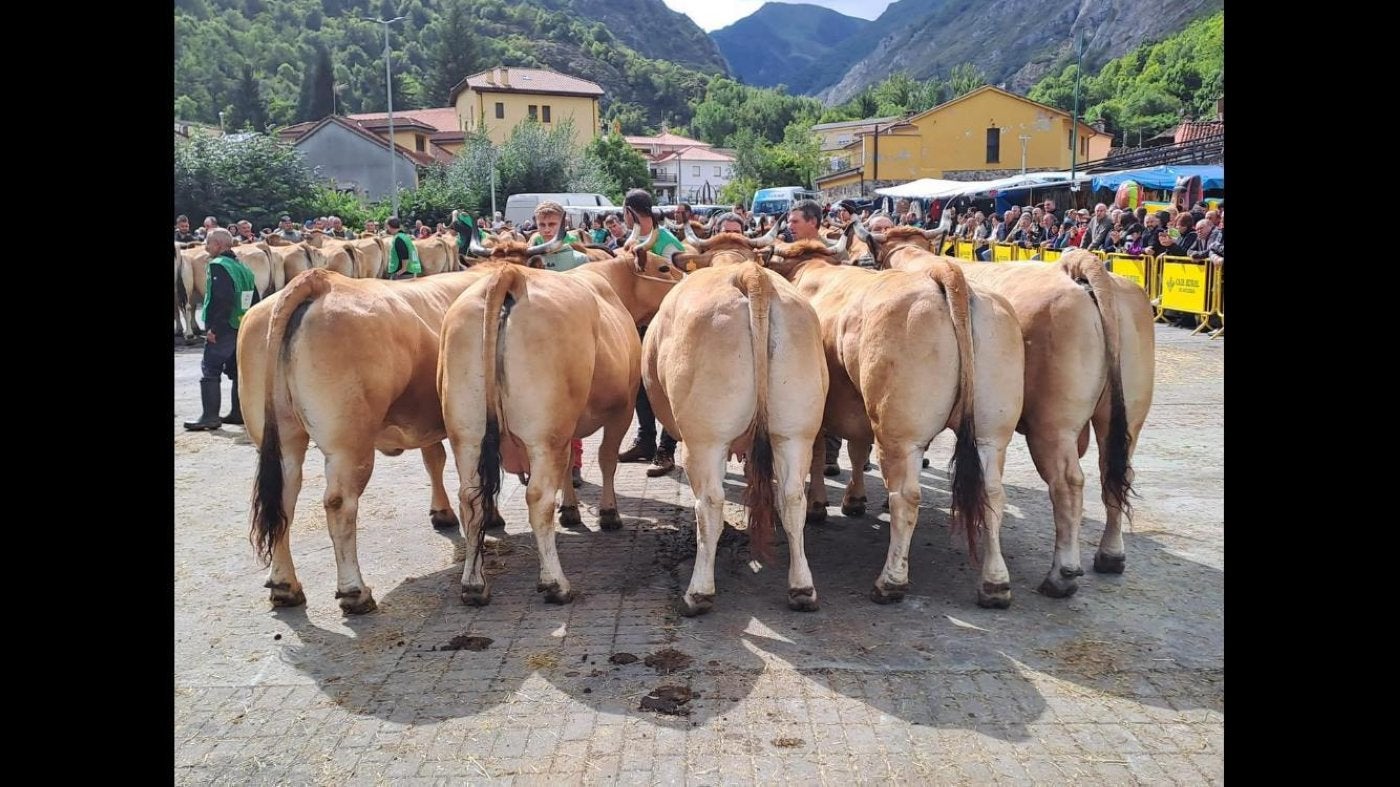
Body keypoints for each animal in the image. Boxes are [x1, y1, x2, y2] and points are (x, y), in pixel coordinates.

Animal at [240, 258, 540, 614]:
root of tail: (319, 280)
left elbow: (434, 461)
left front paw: (442, 513)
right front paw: (489, 516)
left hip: (281, 439)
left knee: (282, 498)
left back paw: (285, 586)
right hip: (348, 444)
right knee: (339, 504)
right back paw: (355, 592)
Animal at [439, 229, 684, 606]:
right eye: (662, 267)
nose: (684, 279)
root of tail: (510, 275)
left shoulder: (569, 422)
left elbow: (571, 461)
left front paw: (570, 510)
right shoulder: (622, 407)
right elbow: (606, 459)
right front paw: (608, 513)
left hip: (466, 436)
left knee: (470, 500)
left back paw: (474, 584)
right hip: (542, 435)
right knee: (537, 497)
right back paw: (555, 583)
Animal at [651, 237, 829, 615]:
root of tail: (750, 275)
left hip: (705, 439)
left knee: (709, 504)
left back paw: (699, 592)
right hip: (795, 433)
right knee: (793, 498)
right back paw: (802, 588)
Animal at [869, 216, 1155, 598]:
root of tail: (1080, 265)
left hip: (1053, 426)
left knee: (1068, 483)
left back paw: (1061, 574)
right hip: (1126, 418)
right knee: (1116, 471)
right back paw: (1110, 555)